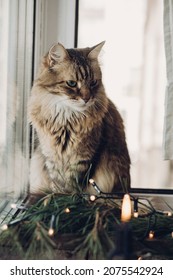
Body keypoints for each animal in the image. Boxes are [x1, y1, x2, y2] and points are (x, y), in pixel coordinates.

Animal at [28, 42, 130, 197]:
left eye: (93, 83)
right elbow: (57, 184)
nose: (87, 98)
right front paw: (58, 197)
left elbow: (73, 187)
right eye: (72, 83)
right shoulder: (51, 157)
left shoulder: (83, 159)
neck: (66, 119)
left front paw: (71, 198)